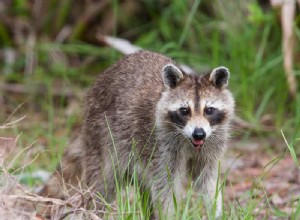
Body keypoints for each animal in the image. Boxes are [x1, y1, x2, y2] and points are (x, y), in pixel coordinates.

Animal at [39, 51, 236, 218]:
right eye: (184, 111)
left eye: (209, 110)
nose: (199, 133)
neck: (188, 140)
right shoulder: (160, 145)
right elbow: (164, 186)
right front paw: (168, 215)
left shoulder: (213, 142)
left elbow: (207, 180)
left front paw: (216, 211)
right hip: (100, 136)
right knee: (102, 184)